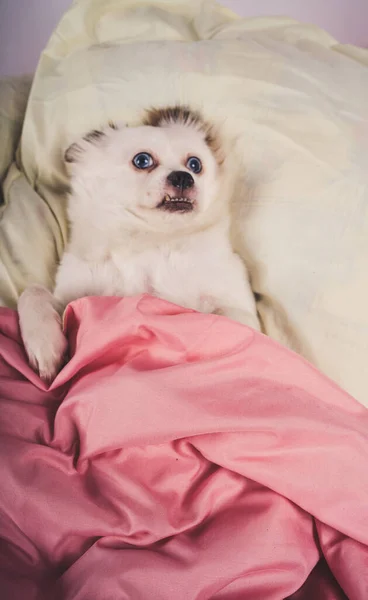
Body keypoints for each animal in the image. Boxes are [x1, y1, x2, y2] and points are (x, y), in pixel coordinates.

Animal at [18, 107, 258, 380]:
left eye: (195, 164)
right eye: (142, 160)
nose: (183, 177)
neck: (148, 239)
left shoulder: (237, 304)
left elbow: (232, 319)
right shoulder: (71, 297)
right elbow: (32, 292)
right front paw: (44, 345)